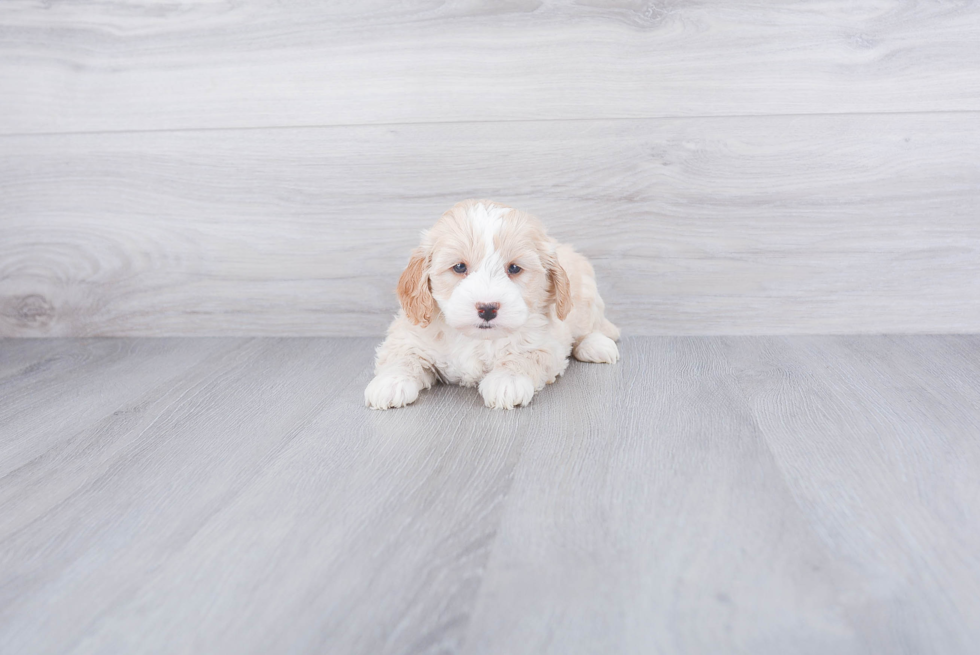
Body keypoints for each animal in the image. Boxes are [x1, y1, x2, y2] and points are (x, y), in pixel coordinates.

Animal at [364, 200, 624, 410]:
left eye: (514, 268)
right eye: (459, 267)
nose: (487, 308)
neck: (475, 338)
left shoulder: (545, 342)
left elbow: (525, 356)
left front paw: (508, 381)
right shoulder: (409, 334)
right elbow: (402, 356)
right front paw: (390, 382)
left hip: (583, 299)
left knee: (589, 328)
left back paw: (596, 345)